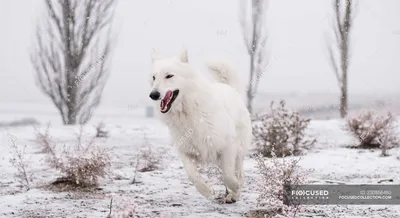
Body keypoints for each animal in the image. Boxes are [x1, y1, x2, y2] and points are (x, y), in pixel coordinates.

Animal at [148, 47, 252, 203]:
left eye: (169, 76)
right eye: (154, 77)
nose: (153, 95)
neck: (187, 112)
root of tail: (229, 87)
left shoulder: (228, 145)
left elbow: (228, 174)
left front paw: (235, 186)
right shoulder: (185, 150)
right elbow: (192, 176)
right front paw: (207, 191)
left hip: (238, 150)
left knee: (239, 173)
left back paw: (234, 193)